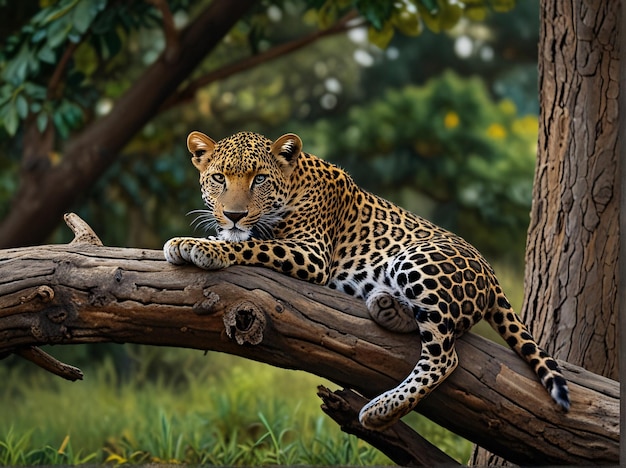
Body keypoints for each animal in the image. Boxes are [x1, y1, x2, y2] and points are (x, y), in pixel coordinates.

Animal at [165, 130, 572, 430]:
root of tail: (491, 276)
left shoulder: (311, 254)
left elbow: (251, 245)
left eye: (259, 179)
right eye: (219, 178)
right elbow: (242, 238)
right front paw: (202, 238)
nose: (233, 214)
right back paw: (385, 306)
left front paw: (197, 246)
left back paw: (380, 411)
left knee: (444, 357)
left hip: (416, 259)